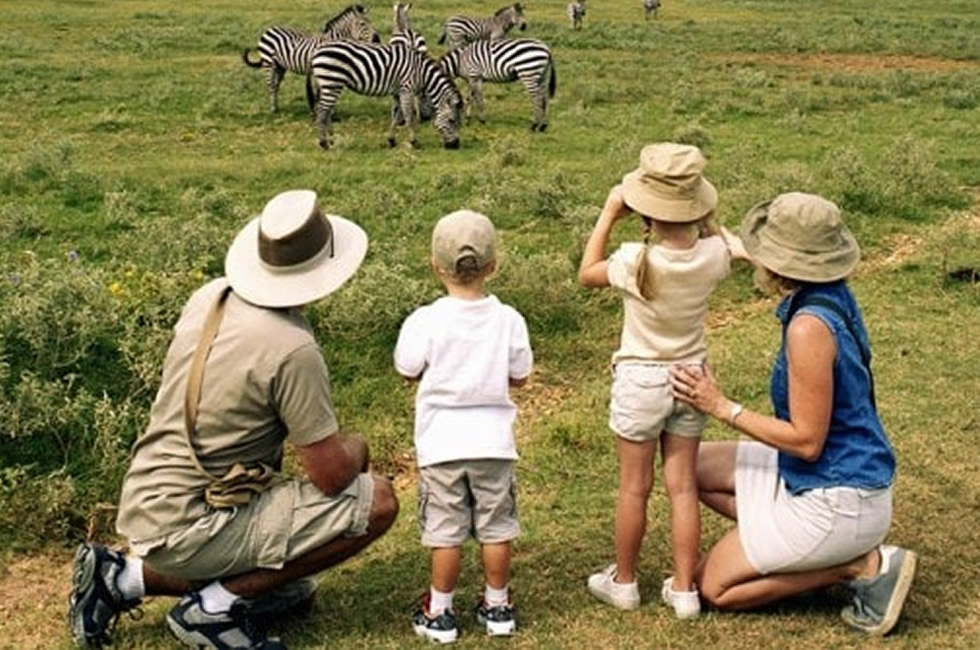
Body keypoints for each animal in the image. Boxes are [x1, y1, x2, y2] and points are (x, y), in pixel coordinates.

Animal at [243, 4, 380, 112]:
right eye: (363, 24)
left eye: (371, 23)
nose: (377, 40)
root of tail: (269, 29)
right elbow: (321, 93)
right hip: (269, 63)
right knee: (271, 84)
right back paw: (273, 109)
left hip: (280, 66)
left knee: (276, 84)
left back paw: (276, 106)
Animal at [306, 41, 464, 150]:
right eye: (451, 121)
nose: (455, 145)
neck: (422, 73)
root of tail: (316, 52)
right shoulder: (407, 88)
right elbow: (408, 116)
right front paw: (414, 142)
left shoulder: (398, 92)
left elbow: (396, 115)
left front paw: (391, 141)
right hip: (332, 81)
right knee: (322, 111)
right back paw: (323, 143)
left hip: (330, 84)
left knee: (327, 111)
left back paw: (331, 139)